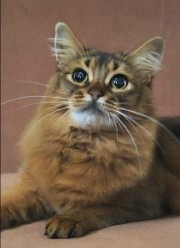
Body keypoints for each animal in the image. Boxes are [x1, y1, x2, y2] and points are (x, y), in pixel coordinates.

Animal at [1, 22, 180, 238]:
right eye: (79, 76)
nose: (95, 93)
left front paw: (68, 218)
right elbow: (7, 203)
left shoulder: (141, 204)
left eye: (119, 82)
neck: (81, 145)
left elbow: (95, 206)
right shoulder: (30, 190)